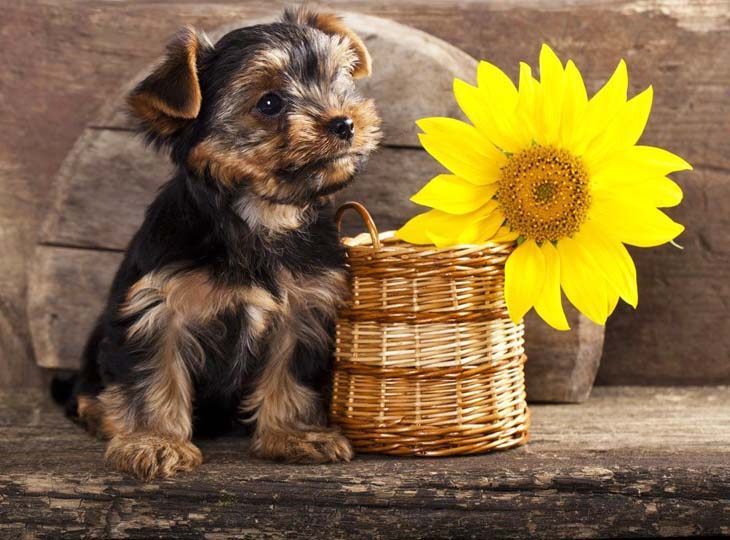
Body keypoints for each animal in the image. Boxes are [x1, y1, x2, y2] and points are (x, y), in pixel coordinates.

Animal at [57, 8, 382, 480]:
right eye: (269, 103)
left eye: (337, 81)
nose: (344, 122)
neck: (262, 215)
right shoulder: (158, 308)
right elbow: (154, 374)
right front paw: (154, 441)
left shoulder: (304, 307)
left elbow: (291, 371)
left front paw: (294, 435)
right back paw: (102, 414)